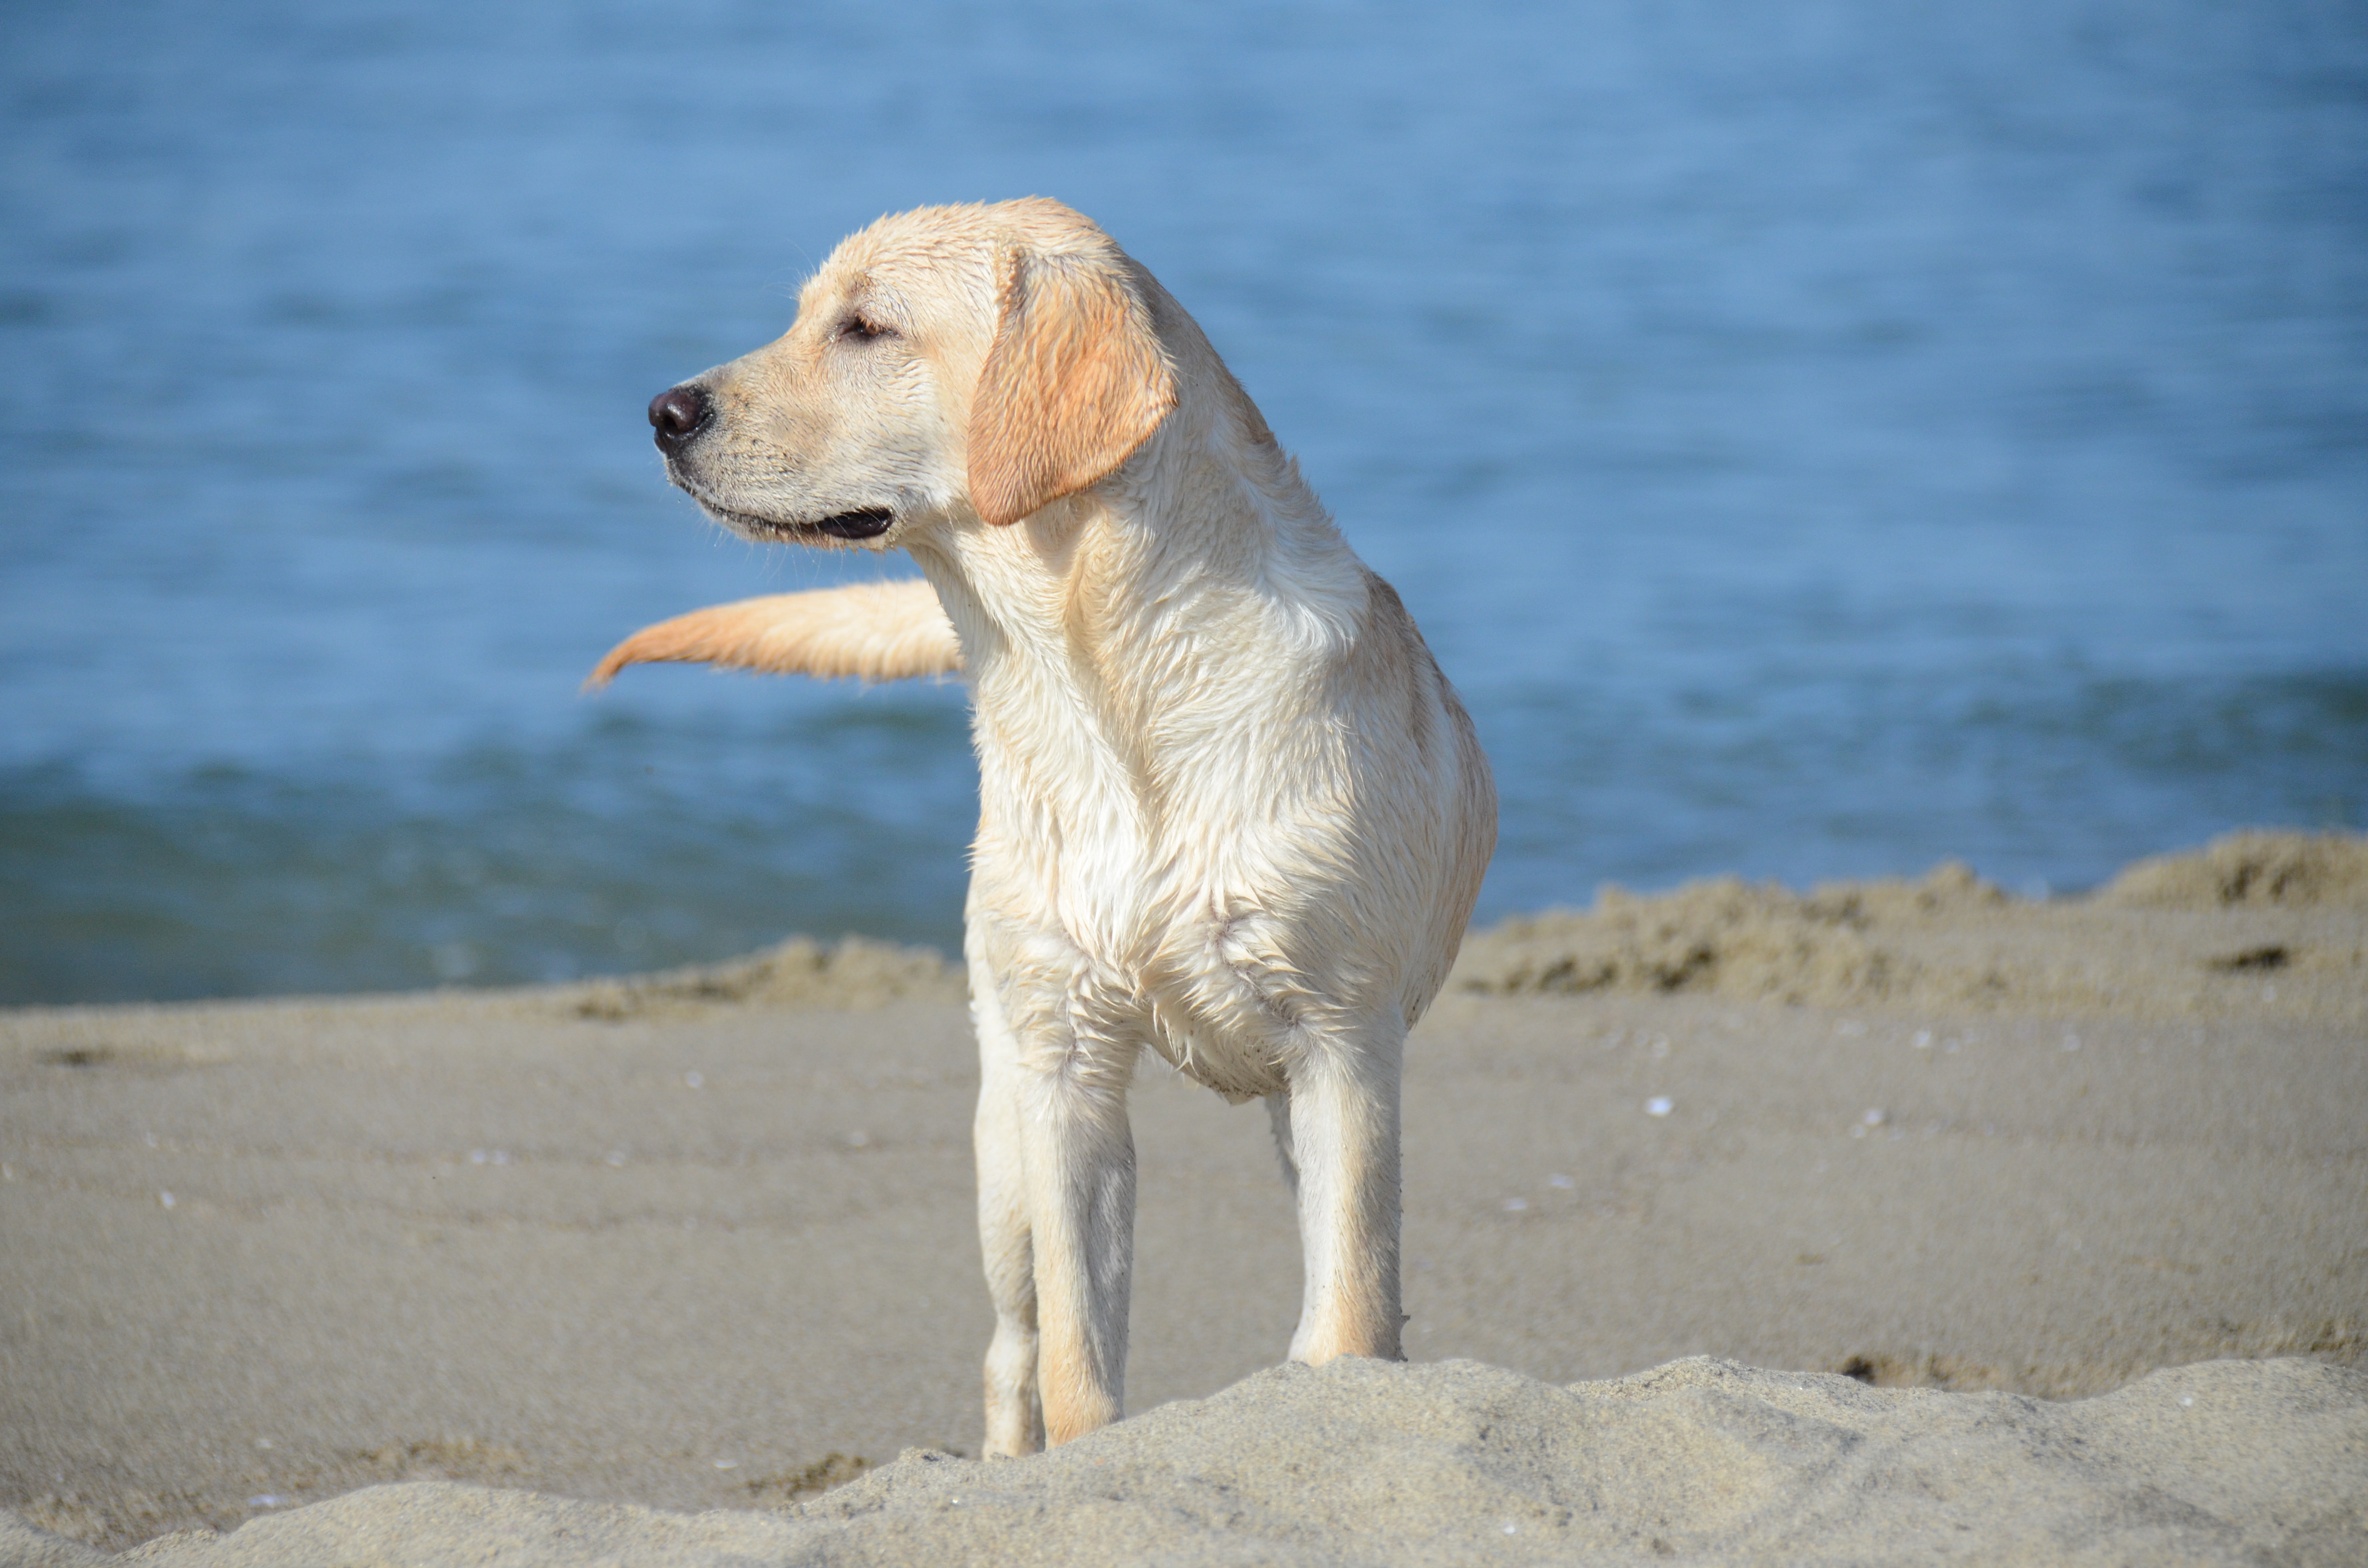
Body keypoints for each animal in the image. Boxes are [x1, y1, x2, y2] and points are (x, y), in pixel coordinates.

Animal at [592, 200, 1487, 1459]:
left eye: (866, 327)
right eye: (807, 314)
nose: (664, 412)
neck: (1101, 691)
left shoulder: (1344, 1045)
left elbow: (1348, 1322)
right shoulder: (1064, 1071)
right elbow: (1078, 1365)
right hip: (1000, 1139)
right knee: (1010, 1346)